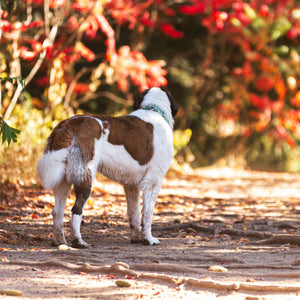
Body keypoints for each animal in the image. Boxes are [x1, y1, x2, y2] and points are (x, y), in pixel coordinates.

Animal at [37, 87, 178, 248]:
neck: (154, 109)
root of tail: (71, 123)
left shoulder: (131, 185)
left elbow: (134, 212)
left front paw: (137, 237)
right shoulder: (153, 181)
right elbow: (147, 213)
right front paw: (148, 239)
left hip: (63, 179)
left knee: (57, 211)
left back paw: (59, 241)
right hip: (86, 174)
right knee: (76, 210)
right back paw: (78, 241)